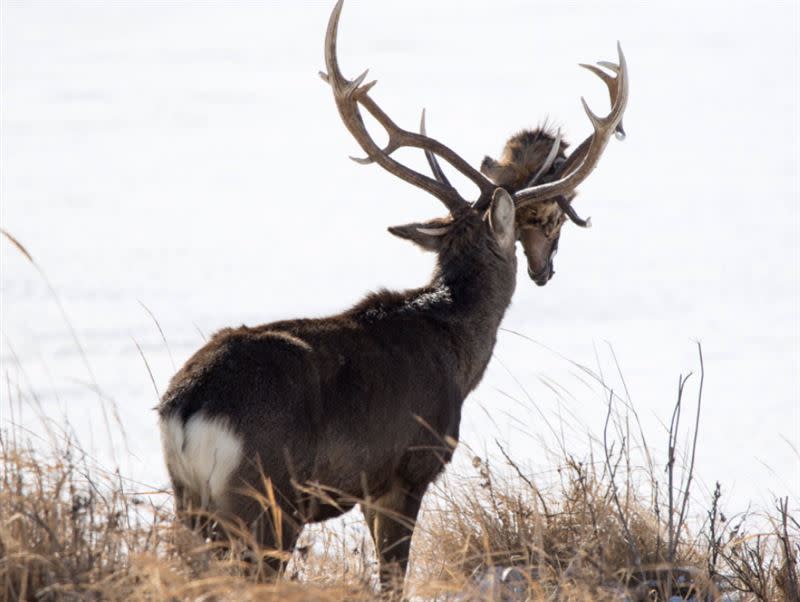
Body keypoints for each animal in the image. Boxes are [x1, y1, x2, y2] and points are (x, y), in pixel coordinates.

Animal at [158, 0, 624, 592]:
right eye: (543, 221)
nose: (547, 270)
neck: (457, 349)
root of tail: (187, 407)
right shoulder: (406, 471)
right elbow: (393, 577)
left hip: (190, 500)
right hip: (265, 497)